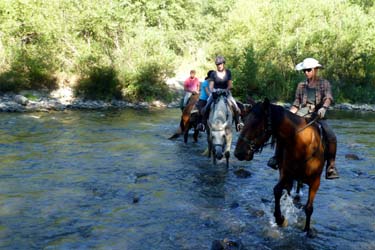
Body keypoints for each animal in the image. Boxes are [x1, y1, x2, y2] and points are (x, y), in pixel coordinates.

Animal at [235, 98, 326, 237]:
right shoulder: (286, 173)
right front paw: (280, 219)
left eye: (255, 124)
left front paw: (307, 230)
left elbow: (309, 208)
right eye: (244, 121)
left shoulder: (315, 181)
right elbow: (277, 190)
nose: (238, 153)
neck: (303, 145)